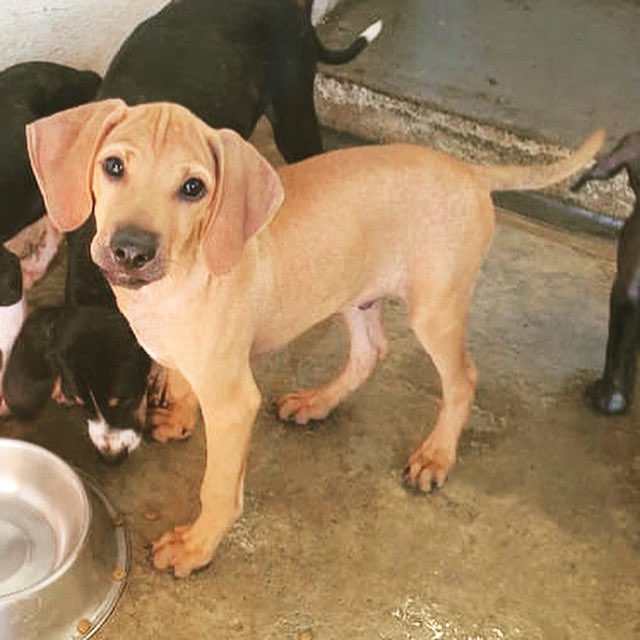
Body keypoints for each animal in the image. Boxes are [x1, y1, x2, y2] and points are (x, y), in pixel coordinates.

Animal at [26, 100, 604, 576]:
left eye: (194, 188)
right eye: (113, 167)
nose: (130, 249)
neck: (179, 280)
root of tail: (468, 170)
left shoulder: (234, 401)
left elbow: (219, 486)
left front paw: (196, 547)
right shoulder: (191, 361)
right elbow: (183, 382)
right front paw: (179, 415)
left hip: (435, 309)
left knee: (462, 378)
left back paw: (436, 456)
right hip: (353, 293)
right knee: (371, 353)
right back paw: (316, 403)